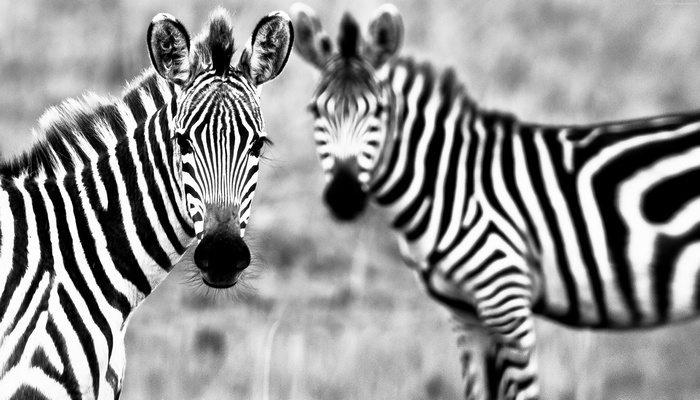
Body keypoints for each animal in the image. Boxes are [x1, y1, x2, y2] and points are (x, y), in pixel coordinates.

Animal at [292, 3, 700, 399]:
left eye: (379, 111)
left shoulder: (506, 300)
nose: (344, 198)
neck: (451, 183)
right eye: (314, 111)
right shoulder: (465, 315)